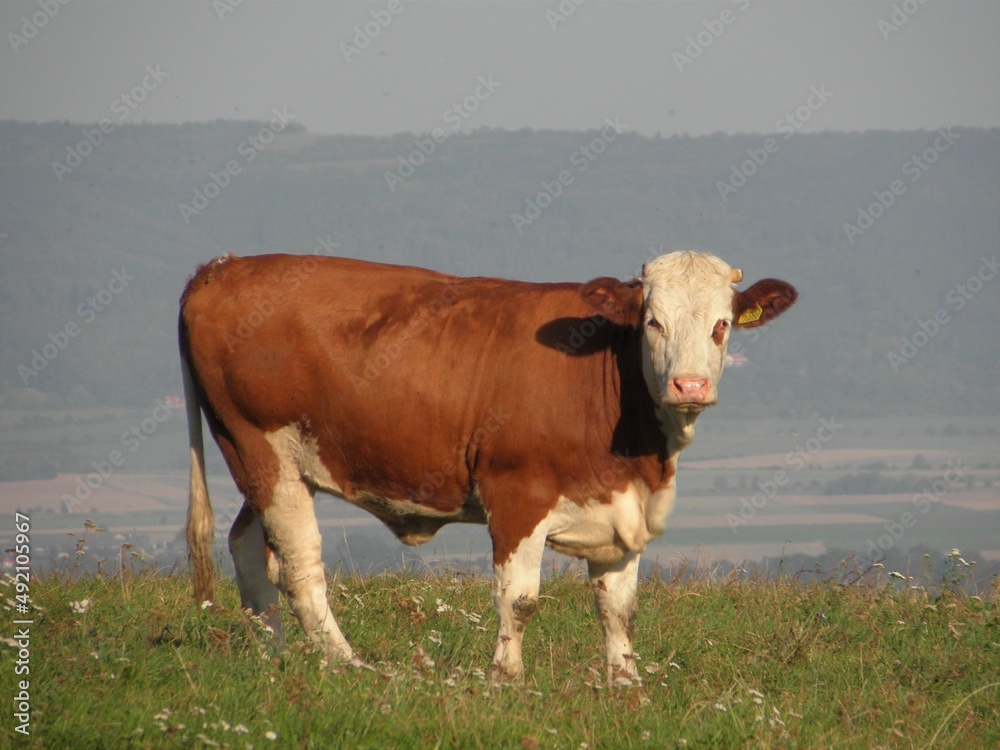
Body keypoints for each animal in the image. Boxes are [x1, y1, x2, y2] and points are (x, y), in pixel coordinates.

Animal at [179, 250, 796, 682]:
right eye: (653, 323)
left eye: (722, 324)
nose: (689, 385)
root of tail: (223, 266)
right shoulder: (517, 493)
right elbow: (518, 599)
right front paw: (507, 679)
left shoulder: (622, 508)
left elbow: (619, 608)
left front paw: (627, 685)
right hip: (264, 452)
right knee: (301, 569)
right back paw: (348, 667)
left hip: (257, 460)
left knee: (248, 549)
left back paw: (275, 658)